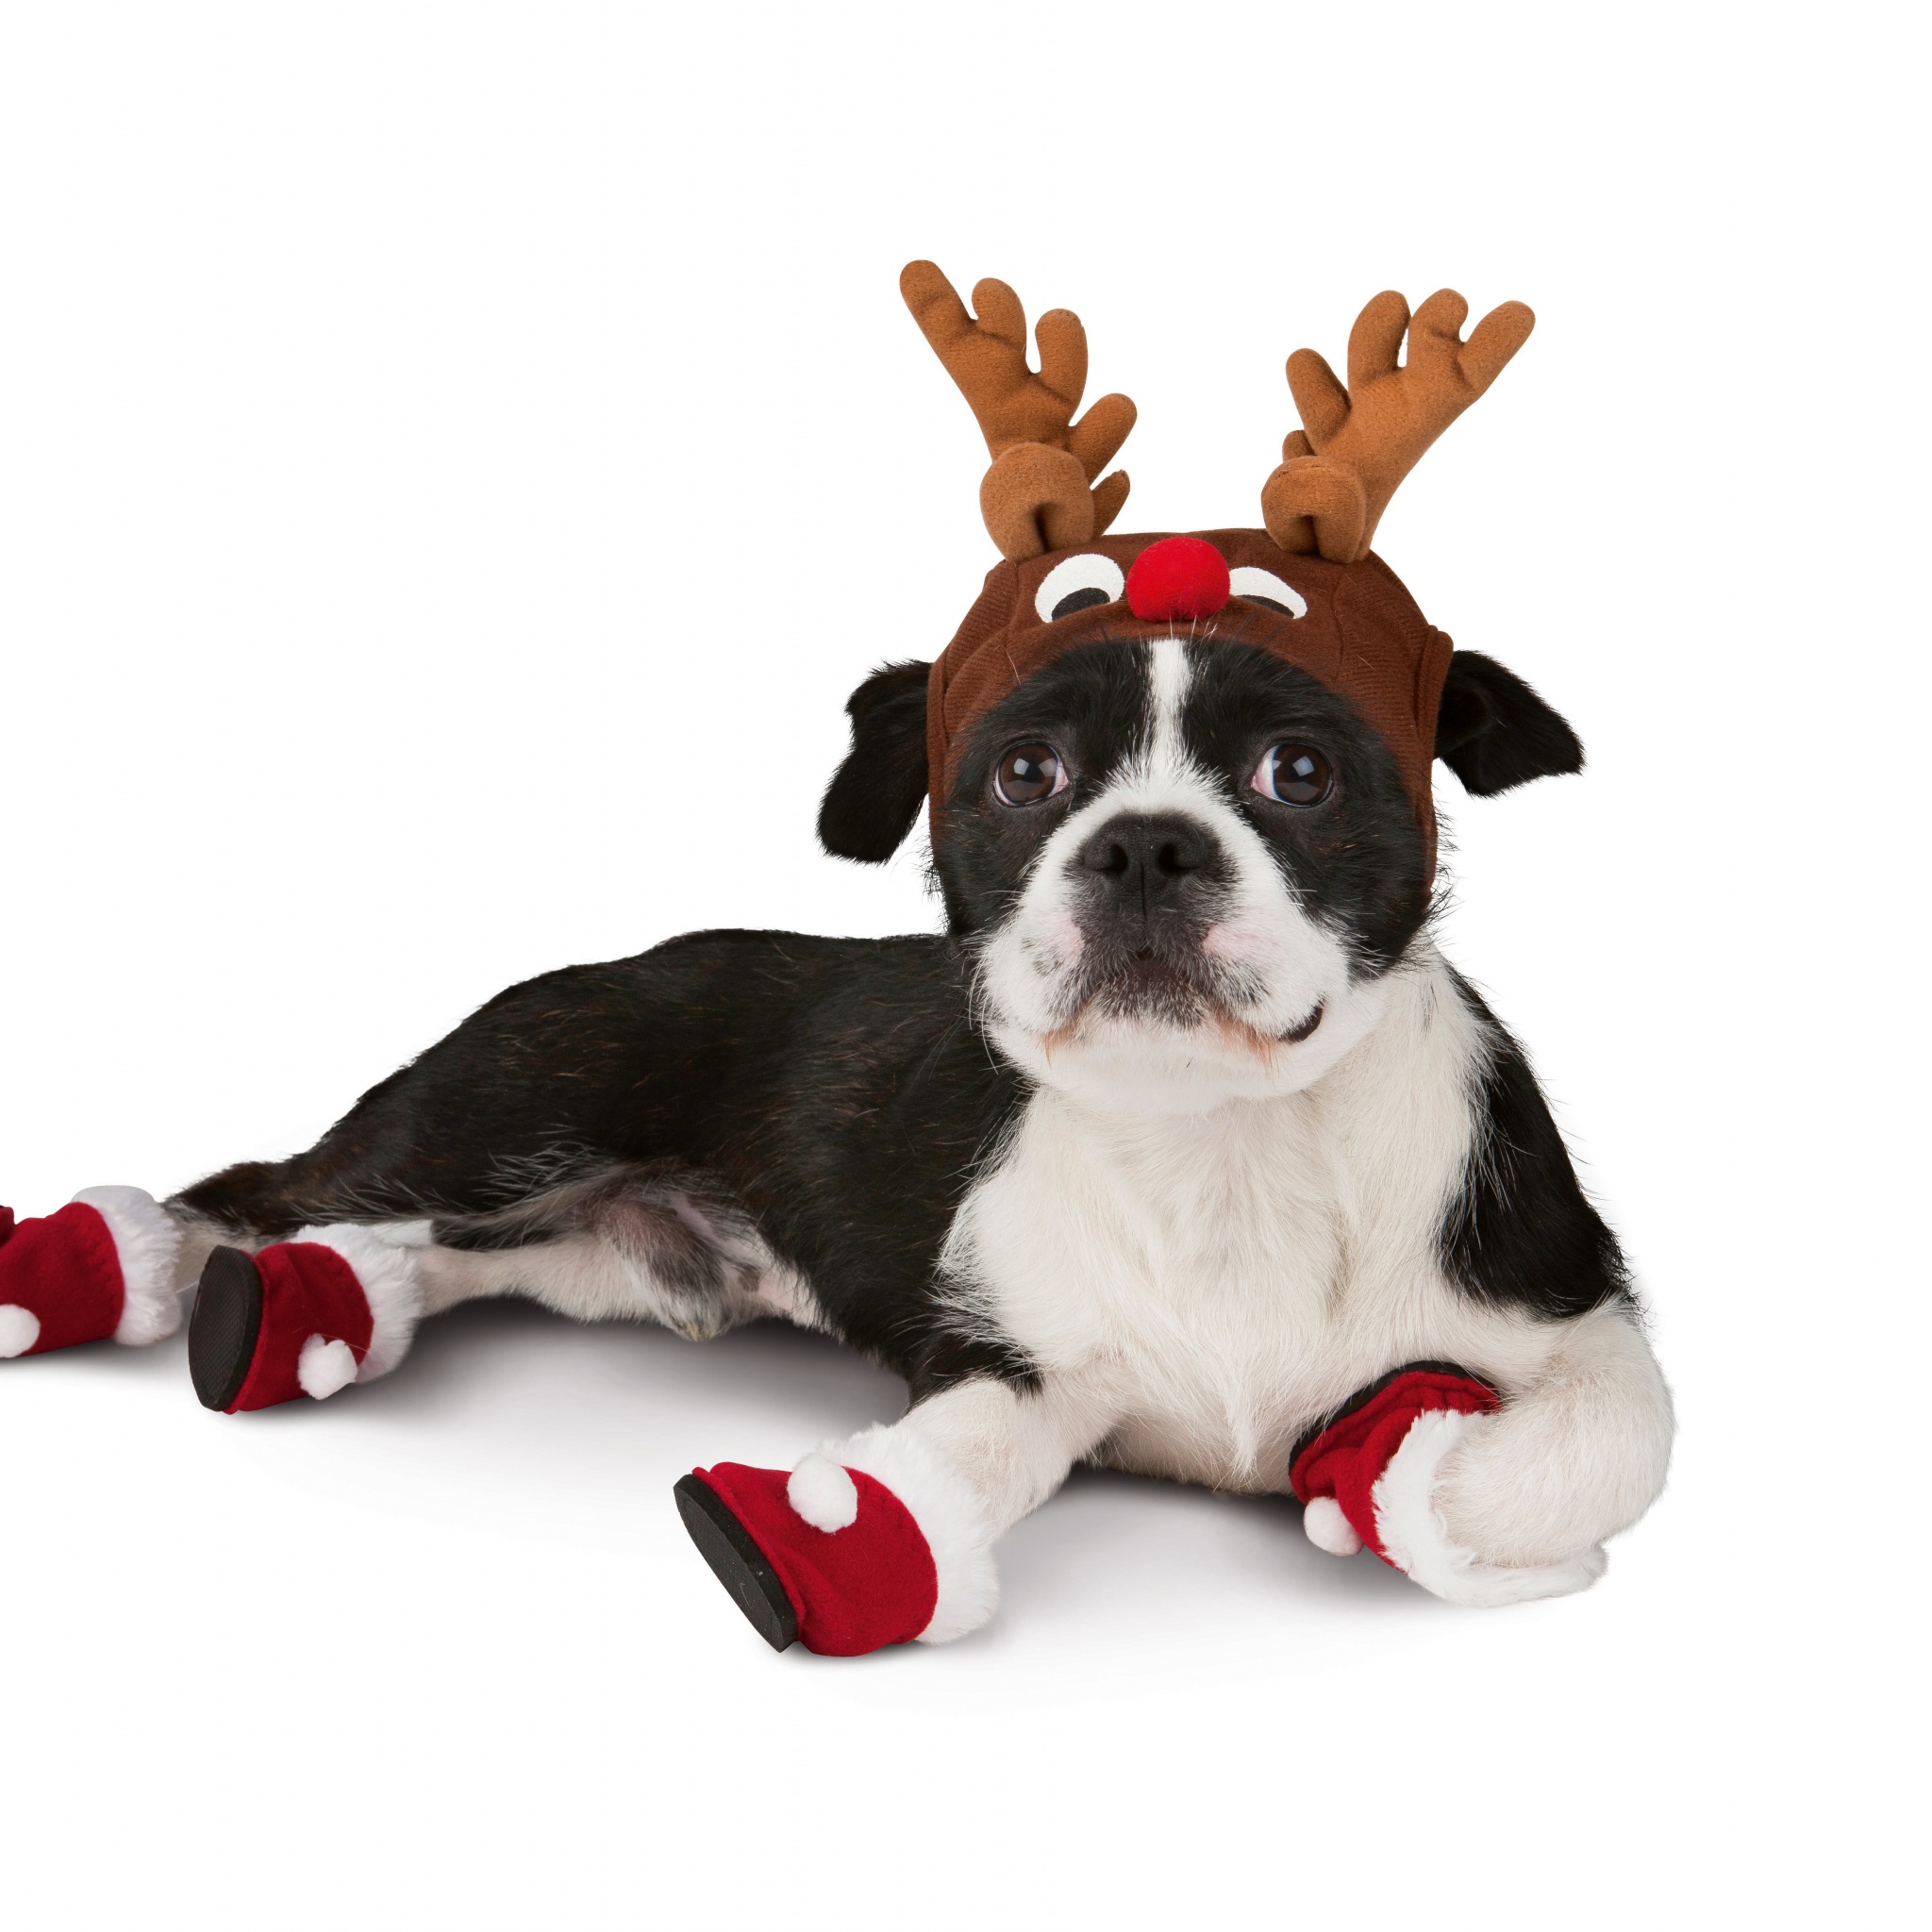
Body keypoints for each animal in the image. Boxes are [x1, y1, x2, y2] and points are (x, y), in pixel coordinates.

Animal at [0, 264, 1676, 1654]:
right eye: (1024, 775)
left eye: (1302, 774)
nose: (1144, 844)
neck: (1222, 1149)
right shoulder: (1004, 1357)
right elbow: (957, 1462)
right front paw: (825, 1543)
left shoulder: (1581, 1318)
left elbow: (1585, 1448)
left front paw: (1382, 1478)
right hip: (498, 1109)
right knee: (246, 1193)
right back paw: (115, 1269)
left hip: (577, 1250)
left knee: (423, 1258)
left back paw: (318, 1311)